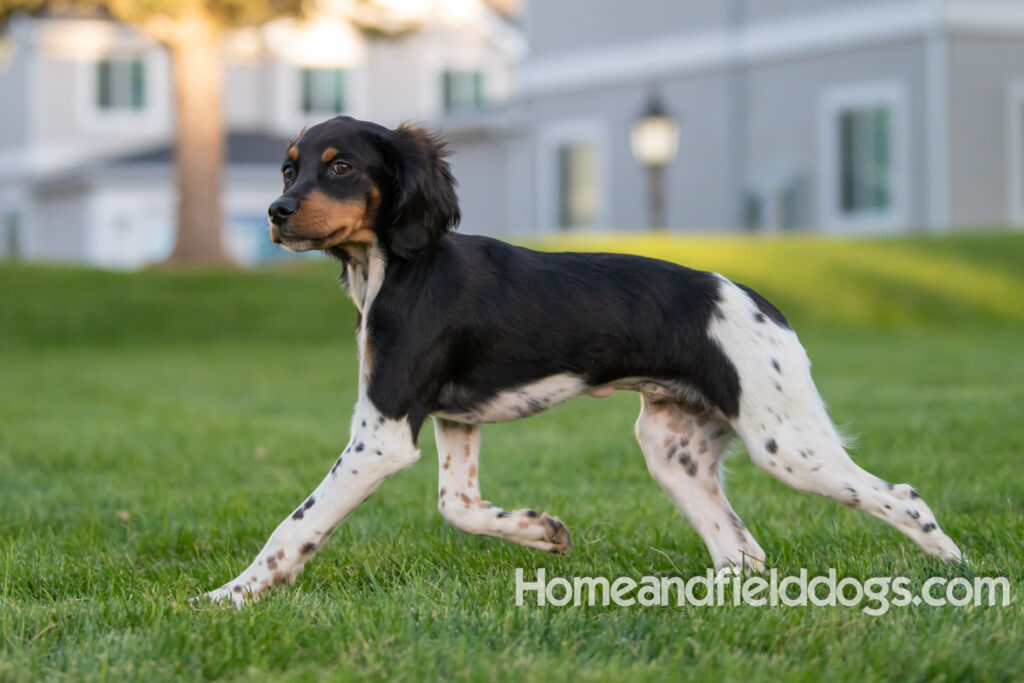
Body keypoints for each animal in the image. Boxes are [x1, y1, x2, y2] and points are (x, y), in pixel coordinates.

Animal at [199, 114, 958, 606]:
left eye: (341, 167)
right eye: (289, 166)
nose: (275, 211)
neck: (398, 267)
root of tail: (759, 301)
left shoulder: (379, 434)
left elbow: (294, 527)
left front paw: (230, 595)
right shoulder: (454, 419)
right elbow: (457, 506)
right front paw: (541, 531)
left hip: (786, 445)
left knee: (904, 496)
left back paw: (953, 571)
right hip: (672, 447)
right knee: (744, 553)